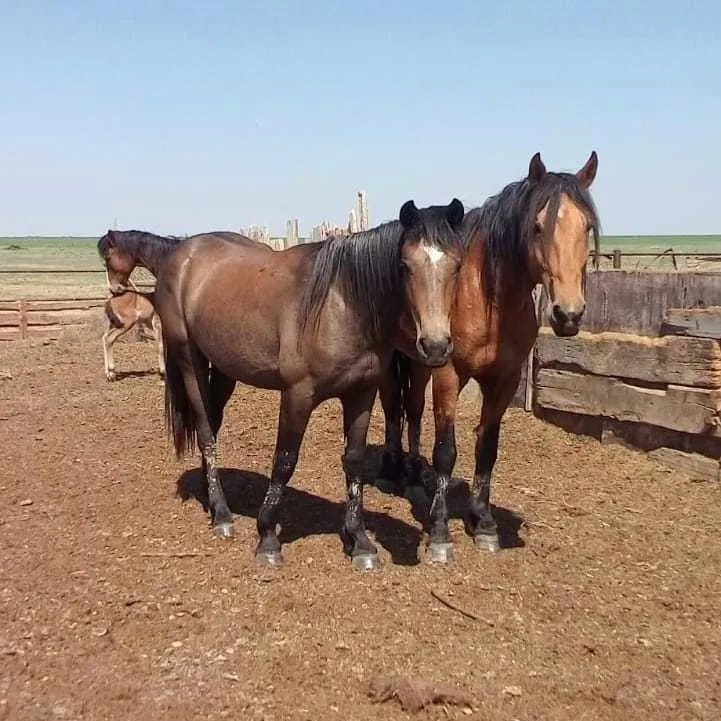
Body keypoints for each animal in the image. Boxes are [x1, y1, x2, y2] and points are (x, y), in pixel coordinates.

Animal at [154, 200, 464, 572]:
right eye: (405, 265)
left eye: (457, 265)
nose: (435, 345)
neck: (342, 305)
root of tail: (182, 253)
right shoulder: (297, 395)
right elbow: (284, 461)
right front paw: (267, 537)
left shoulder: (361, 394)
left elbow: (354, 461)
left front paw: (359, 542)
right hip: (190, 362)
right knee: (206, 433)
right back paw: (223, 515)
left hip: (225, 370)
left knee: (212, 424)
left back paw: (210, 493)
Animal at [380, 152, 600, 564]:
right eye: (537, 226)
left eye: (588, 226)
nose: (568, 314)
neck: (486, 298)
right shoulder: (449, 373)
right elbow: (446, 450)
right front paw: (439, 532)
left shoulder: (505, 380)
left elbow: (487, 447)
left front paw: (482, 522)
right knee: (392, 410)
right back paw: (392, 470)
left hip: (420, 362)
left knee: (412, 410)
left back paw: (415, 473)